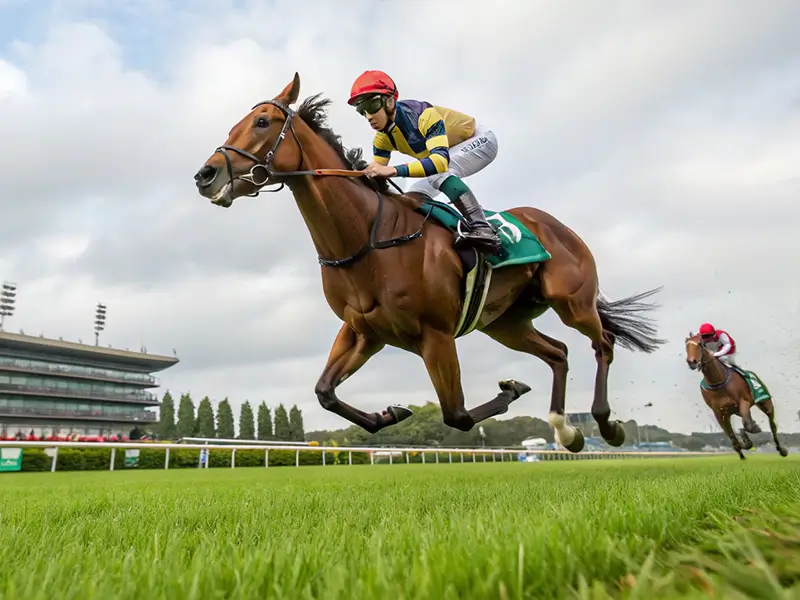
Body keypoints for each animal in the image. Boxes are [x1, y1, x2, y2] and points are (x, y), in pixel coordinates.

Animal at [193, 73, 666, 453]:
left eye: (262, 122)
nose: (205, 175)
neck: (369, 239)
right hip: (505, 322)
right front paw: (390, 414)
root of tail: (555, 224)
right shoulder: (364, 332)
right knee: (559, 353)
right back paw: (566, 431)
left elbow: (456, 414)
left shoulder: (435, 335)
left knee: (602, 342)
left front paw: (510, 390)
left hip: (572, 301)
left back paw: (606, 424)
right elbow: (324, 391)